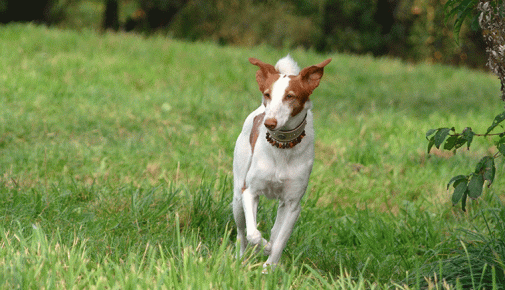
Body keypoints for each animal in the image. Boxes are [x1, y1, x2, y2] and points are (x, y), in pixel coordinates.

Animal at [232, 54, 330, 270]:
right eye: (268, 94)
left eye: (290, 96)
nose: (269, 123)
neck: (282, 146)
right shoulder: (249, 192)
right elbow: (253, 234)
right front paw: (263, 247)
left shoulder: (293, 204)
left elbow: (279, 241)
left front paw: (268, 269)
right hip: (237, 198)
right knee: (242, 233)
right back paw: (241, 257)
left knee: (275, 231)